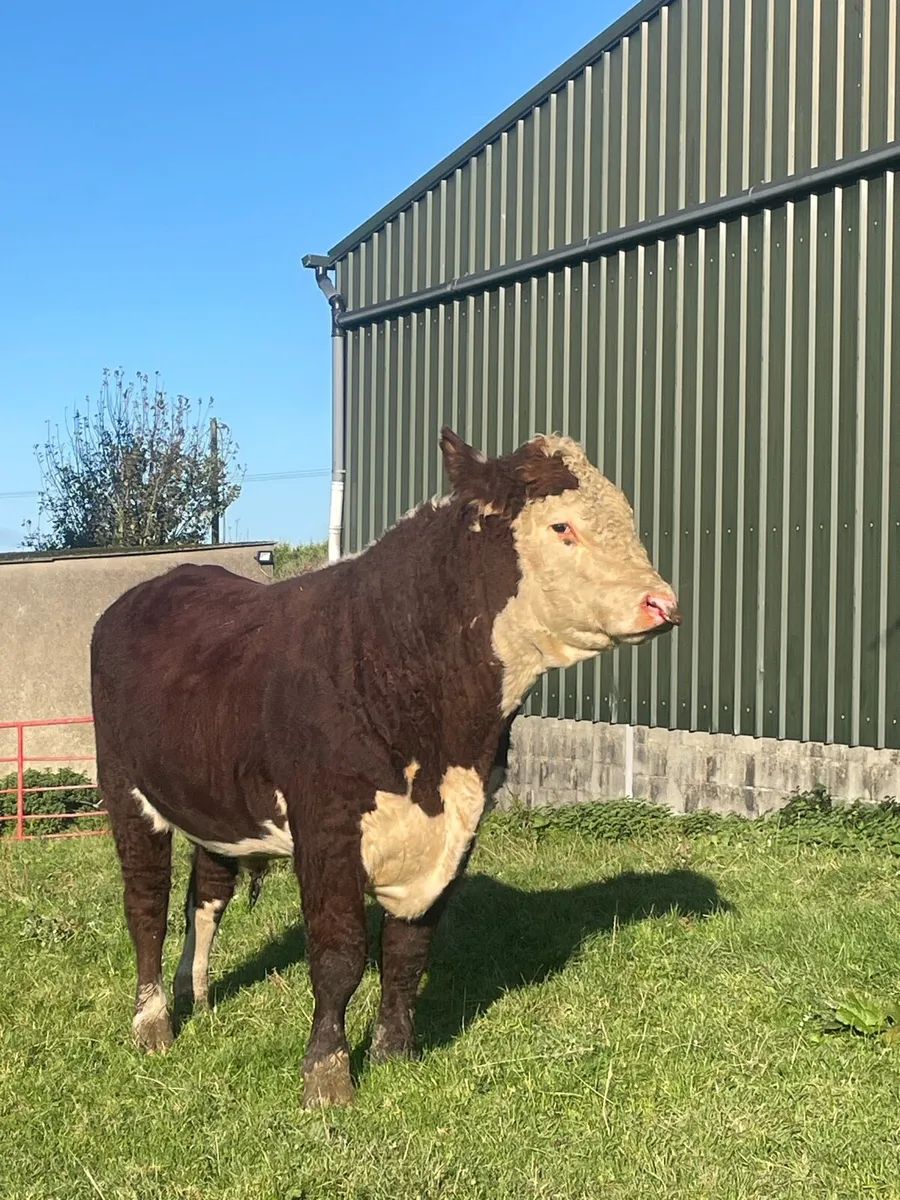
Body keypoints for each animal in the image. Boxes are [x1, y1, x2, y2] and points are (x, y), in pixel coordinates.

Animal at [90, 428, 681, 1108]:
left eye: (629, 516)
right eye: (562, 526)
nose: (662, 603)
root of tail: (154, 584)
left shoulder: (459, 828)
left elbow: (407, 948)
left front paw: (395, 1053)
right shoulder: (327, 826)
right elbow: (340, 954)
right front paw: (327, 1074)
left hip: (215, 799)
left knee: (206, 894)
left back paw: (200, 995)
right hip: (125, 788)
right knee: (146, 904)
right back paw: (153, 1021)